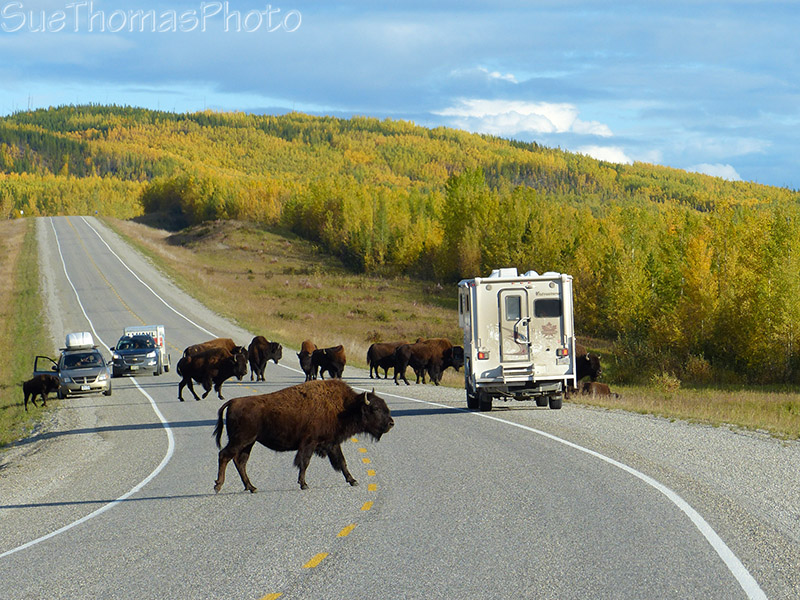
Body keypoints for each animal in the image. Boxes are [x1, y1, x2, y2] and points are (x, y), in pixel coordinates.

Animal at [213, 379, 394, 492]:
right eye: (375, 408)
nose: (391, 423)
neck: (346, 406)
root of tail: (233, 402)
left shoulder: (332, 443)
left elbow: (342, 462)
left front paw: (353, 480)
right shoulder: (310, 443)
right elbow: (304, 462)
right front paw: (304, 484)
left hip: (249, 443)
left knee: (240, 461)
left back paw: (251, 487)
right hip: (241, 440)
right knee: (224, 455)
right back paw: (218, 486)